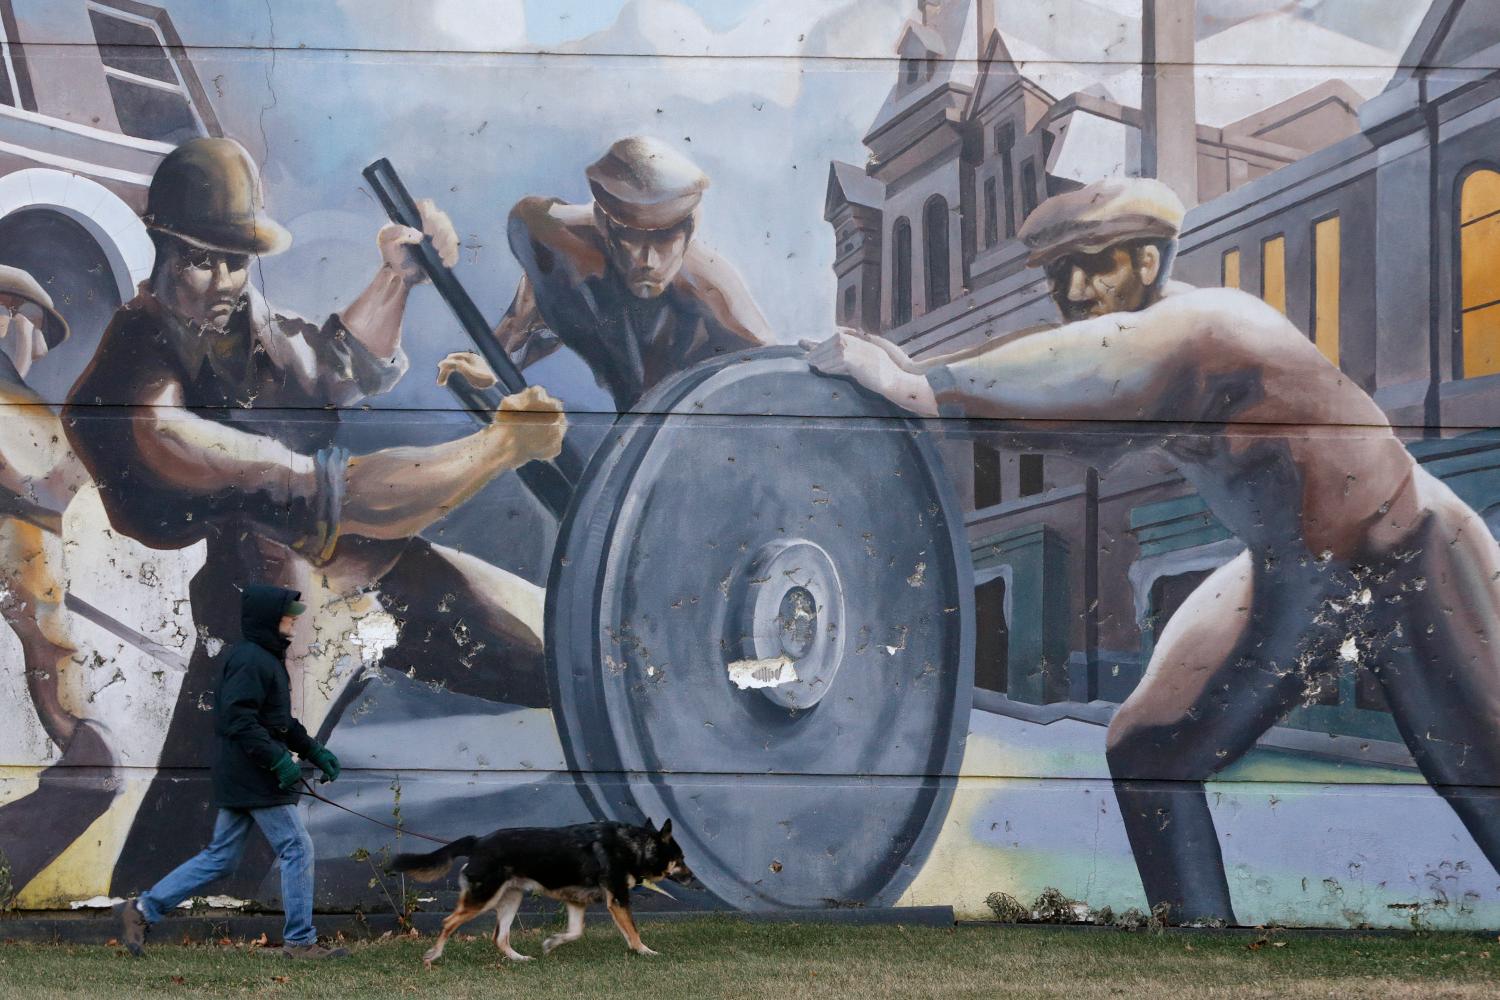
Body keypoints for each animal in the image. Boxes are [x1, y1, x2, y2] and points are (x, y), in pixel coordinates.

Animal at [387, 815, 690, 965]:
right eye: (681, 858)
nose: (692, 876)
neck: (633, 846)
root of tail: (478, 841)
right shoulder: (617, 899)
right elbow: (633, 932)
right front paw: (645, 952)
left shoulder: (576, 901)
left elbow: (575, 932)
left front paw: (551, 943)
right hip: (484, 897)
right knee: (448, 922)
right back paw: (433, 956)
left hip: (511, 898)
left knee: (499, 937)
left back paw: (520, 959)